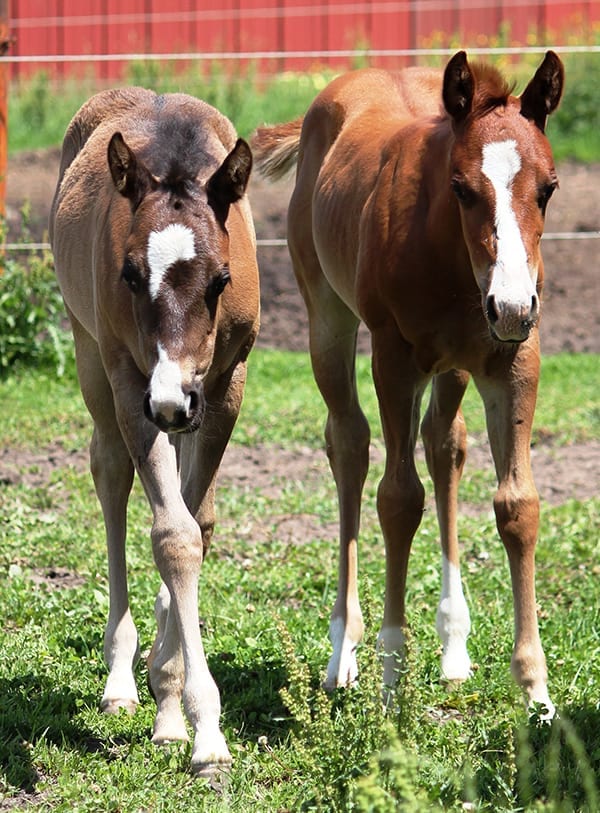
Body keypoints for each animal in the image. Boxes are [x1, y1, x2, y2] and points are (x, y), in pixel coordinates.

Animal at [49, 87, 260, 775]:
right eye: (131, 275)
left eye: (221, 280)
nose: (170, 402)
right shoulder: (130, 383)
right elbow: (173, 536)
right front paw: (204, 729)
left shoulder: (223, 385)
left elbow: (196, 526)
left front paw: (172, 702)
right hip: (94, 357)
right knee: (111, 475)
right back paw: (120, 677)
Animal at [252, 51, 564, 716]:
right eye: (461, 187)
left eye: (548, 188)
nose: (512, 306)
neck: (451, 264)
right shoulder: (394, 360)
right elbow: (398, 499)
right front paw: (392, 677)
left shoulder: (514, 362)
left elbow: (517, 504)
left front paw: (537, 693)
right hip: (329, 323)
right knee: (349, 443)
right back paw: (343, 652)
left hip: (454, 370)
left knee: (445, 445)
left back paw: (453, 647)